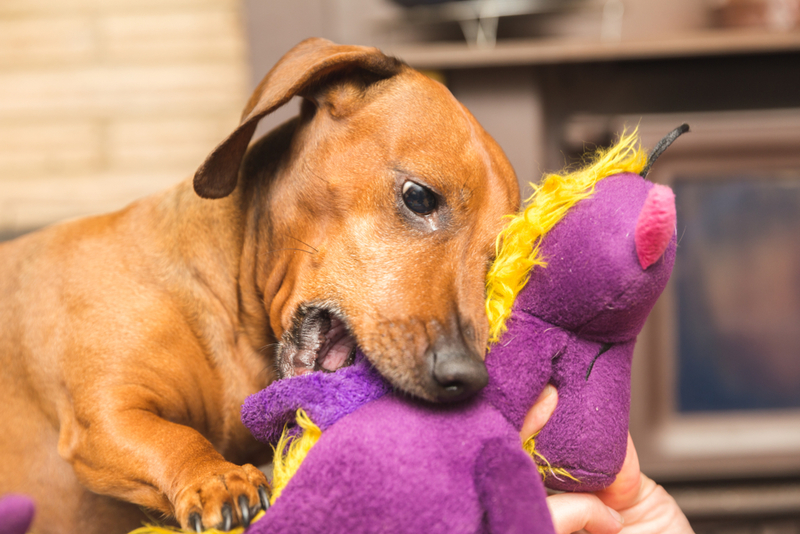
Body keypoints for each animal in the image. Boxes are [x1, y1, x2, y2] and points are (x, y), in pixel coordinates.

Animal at [0, 38, 520, 534]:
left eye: (495, 257)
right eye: (419, 197)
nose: (468, 377)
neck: (226, 308)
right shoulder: (106, 415)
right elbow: (176, 437)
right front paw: (217, 479)